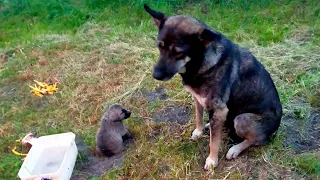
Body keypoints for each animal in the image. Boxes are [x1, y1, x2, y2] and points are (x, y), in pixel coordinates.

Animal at [144, 4, 282, 170]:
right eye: (159, 47)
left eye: (178, 53)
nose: (156, 75)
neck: (200, 62)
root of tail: (277, 126)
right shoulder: (198, 98)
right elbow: (198, 117)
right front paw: (199, 131)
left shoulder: (220, 109)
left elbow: (213, 141)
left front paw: (212, 161)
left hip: (241, 119)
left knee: (257, 139)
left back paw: (235, 149)